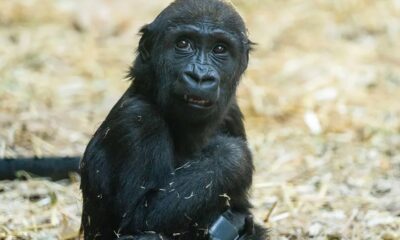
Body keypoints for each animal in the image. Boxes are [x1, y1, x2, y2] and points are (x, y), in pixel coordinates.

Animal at [79, 0, 268, 239]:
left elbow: (242, 211)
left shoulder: (232, 113)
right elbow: (140, 215)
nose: (200, 76)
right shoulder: (139, 119)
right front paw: (232, 156)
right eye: (183, 44)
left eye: (219, 49)